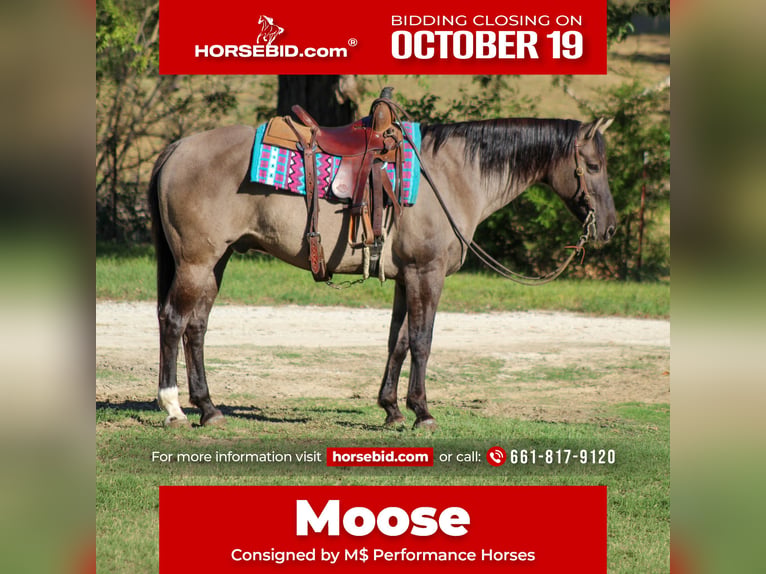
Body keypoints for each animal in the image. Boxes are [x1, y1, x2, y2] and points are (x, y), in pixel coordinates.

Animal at [148, 115, 617, 429]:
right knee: (173, 321)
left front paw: (392, 409)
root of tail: (177, 148)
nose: (609, 228)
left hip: (216, 262)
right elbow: (423, 342)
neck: (451, 176)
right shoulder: (427, 274)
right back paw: (173, 407)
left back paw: (209, 408)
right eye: (593, 167)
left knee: (196, 328)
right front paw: (422, 412)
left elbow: (400, 341)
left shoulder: (407, 277)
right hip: (196, 262)